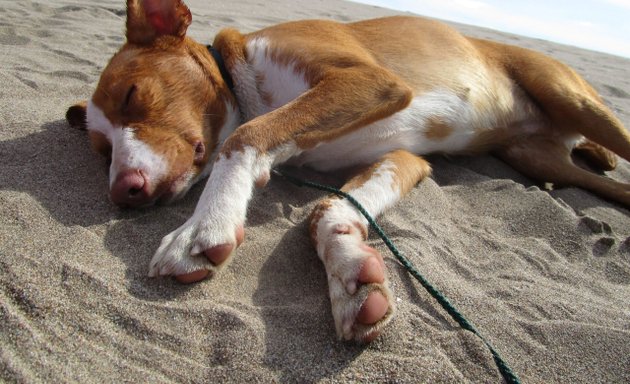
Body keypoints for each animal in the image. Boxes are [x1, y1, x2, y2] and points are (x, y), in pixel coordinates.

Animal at [66, 0, 630, 342]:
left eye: (132, 96)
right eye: (101, 150)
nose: (124, 190)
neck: (249, 83)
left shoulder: (373, 82)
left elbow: (244, 136)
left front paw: (204, 226)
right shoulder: (405, 158)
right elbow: (326, 208)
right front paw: (350, 272)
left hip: (570, 96)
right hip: (534, 157)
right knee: (606, 183)